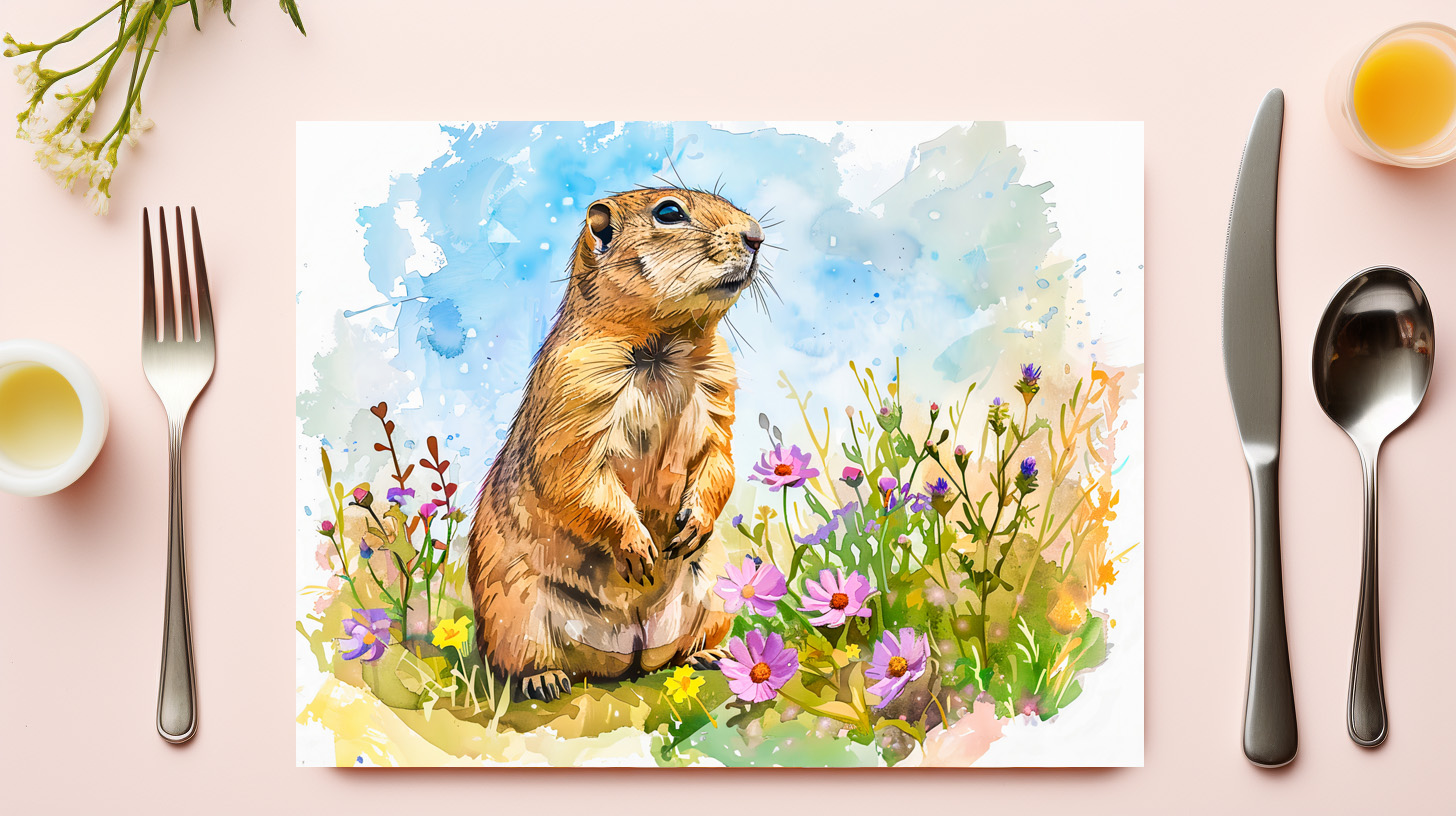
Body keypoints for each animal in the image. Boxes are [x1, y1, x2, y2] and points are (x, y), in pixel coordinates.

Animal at [467, 188, 764, 701]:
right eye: (669, 212)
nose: (757, 236)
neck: (665, 346)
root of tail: (629, 653)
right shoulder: (574, 389)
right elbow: (573, 474)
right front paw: (638, 547)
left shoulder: (719, 391)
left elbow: (719, 458)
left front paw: (692, 525)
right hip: (511, 609)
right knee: (516, 659)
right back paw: (545, 680)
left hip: (716, 594)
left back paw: (708, 656)